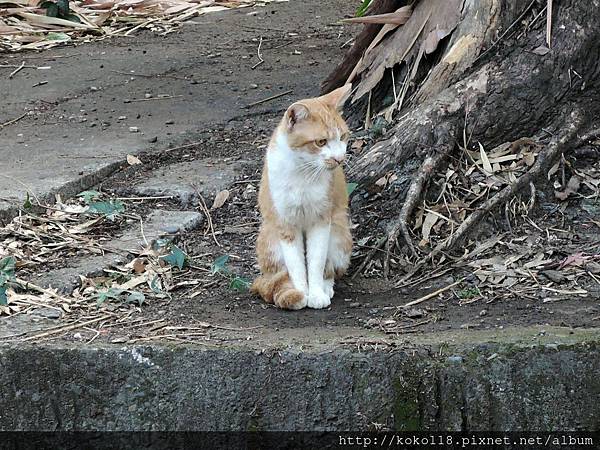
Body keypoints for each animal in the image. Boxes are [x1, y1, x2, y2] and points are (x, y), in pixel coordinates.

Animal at [251, 84, 354, 310]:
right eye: (321, 142)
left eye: (342, 137)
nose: (339, 158)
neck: (303, 172)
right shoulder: (285, 224)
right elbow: (296, 265)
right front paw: (301, 293)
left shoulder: (322, 220)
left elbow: (315, 262)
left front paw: (315, 294)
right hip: (269, 236)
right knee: (275, 276)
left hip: (339, 231)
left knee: (330, 269)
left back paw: (326, 287)